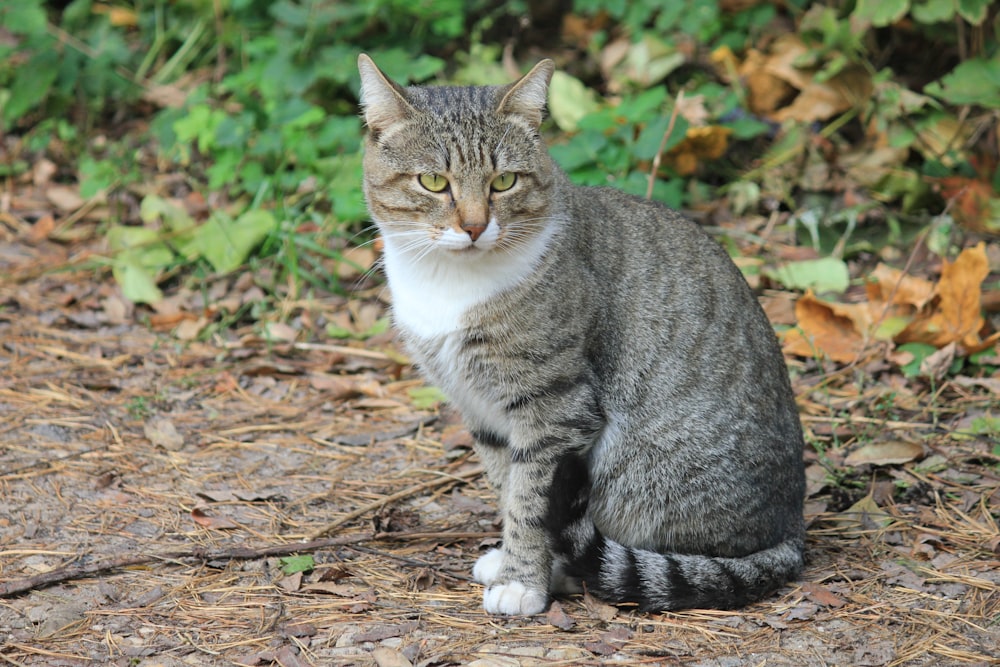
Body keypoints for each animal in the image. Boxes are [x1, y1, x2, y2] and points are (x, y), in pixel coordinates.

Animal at [356, 54, 808, 620]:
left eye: (504, 181)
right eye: (434, 181)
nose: (476, 226)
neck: (449, 285)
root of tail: (793, 526)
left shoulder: (556, 408)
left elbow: (531, 501)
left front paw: (523, 581)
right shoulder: (480, 409)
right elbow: (507, 485)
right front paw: (516, 560)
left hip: (646, 472)